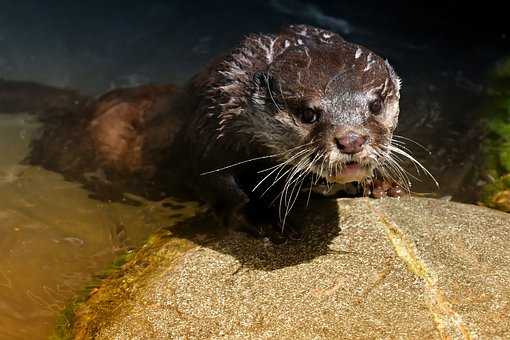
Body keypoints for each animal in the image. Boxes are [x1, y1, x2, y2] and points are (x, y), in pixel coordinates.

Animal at [5, 24, 412, 239]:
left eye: (375, 105)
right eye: (308, 113)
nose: (351, 139)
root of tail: (82, 107)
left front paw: (378, 182)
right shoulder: (205, 129)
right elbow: (211, 179)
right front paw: (261, 217)